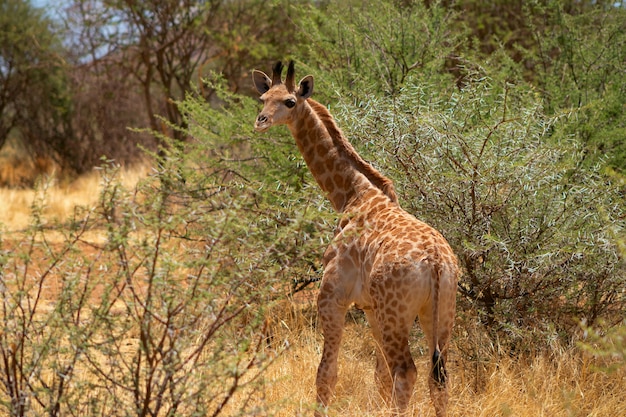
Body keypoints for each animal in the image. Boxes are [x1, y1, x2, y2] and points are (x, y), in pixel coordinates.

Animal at [250, 61, 458, 416]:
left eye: (289, 102)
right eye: (263, 98)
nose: (260, 120)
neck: (351, 193)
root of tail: (436, 262)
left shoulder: (333, 296)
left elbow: (326, 373)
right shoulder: (370, 307)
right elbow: (379, 378)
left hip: (397, 314)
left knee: (407, 372)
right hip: (439, 313)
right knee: (437, 379)